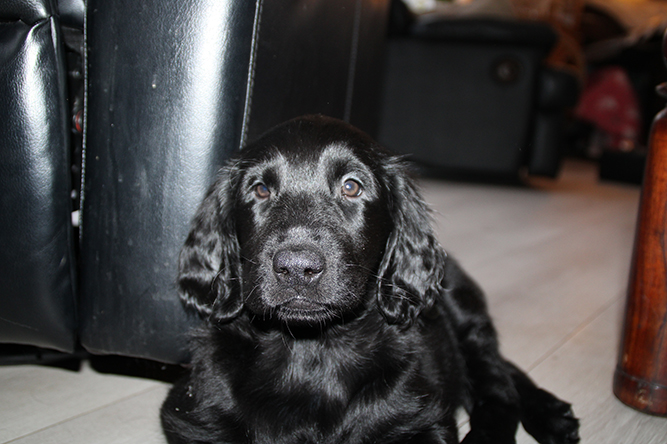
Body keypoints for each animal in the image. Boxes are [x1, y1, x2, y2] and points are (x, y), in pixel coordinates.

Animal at [161, 115, 580, 444]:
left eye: (351, 186)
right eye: (260, 189)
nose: (297, 267)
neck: (310, 351)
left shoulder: (421, 421)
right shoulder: (193, 417)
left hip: (465, 312)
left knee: (498, 385)